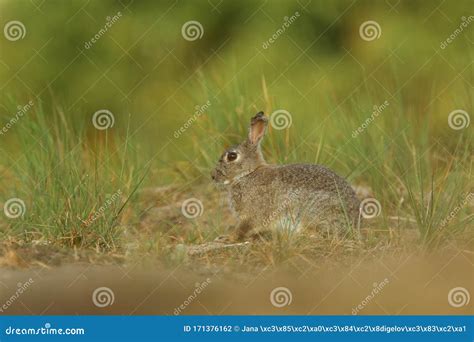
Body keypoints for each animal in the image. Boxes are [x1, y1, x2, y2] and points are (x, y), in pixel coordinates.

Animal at [211, 111, 360, 240]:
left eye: (232, 156)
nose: (213, 176)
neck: (247, 174)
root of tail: (354, 222)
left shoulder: (251, 215)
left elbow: (243, 229)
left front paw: (227, 238)